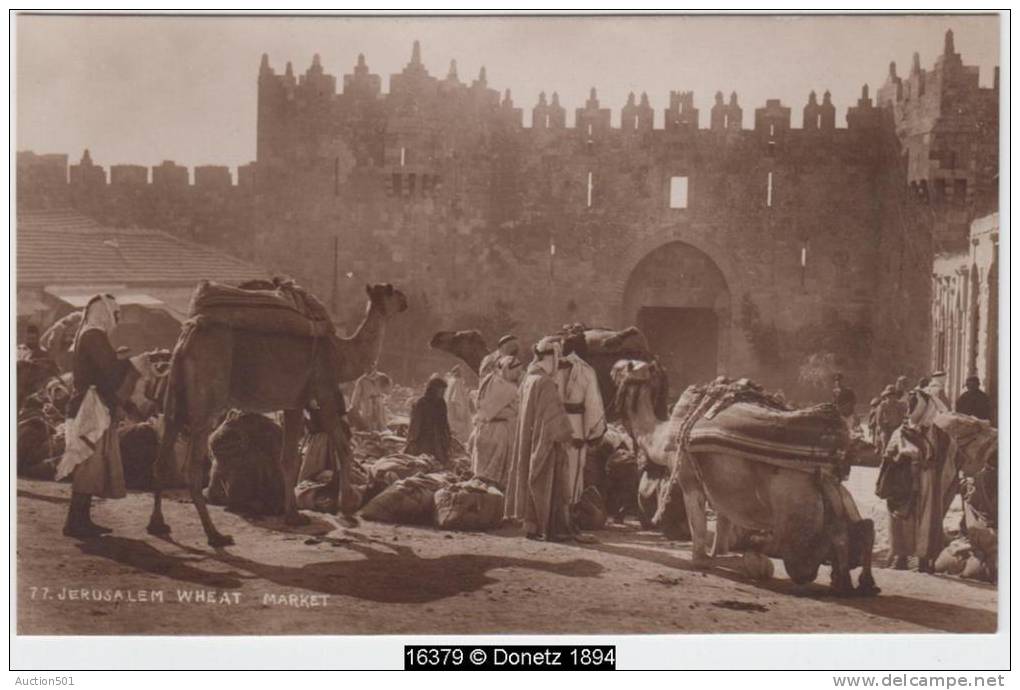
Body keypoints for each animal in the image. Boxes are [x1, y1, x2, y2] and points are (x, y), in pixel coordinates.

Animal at [148, 279, 410, 543]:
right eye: (392, 291)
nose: (405, 301)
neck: (341, 354)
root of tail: (189, 333)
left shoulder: (293, 402)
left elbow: (289, 459)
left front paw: (293, 516)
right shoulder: (324, 390)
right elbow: (344, 448)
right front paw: (346, 507)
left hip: (175, 392)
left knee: (162, 455)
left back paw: (157, 525)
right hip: (206, 394)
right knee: (191, 467)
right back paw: (215, 535)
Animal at [607, 367, 881, 600]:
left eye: (626, 368)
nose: (612, 369)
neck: (663, 436)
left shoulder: (688, 478)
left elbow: (700, 538)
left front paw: (718, 560)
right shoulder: (720, 489)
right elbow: (723, 528)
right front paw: (728, 553)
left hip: (794, 508)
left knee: (811, 555)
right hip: (836, 493)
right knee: (861, 527)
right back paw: (858, 583)